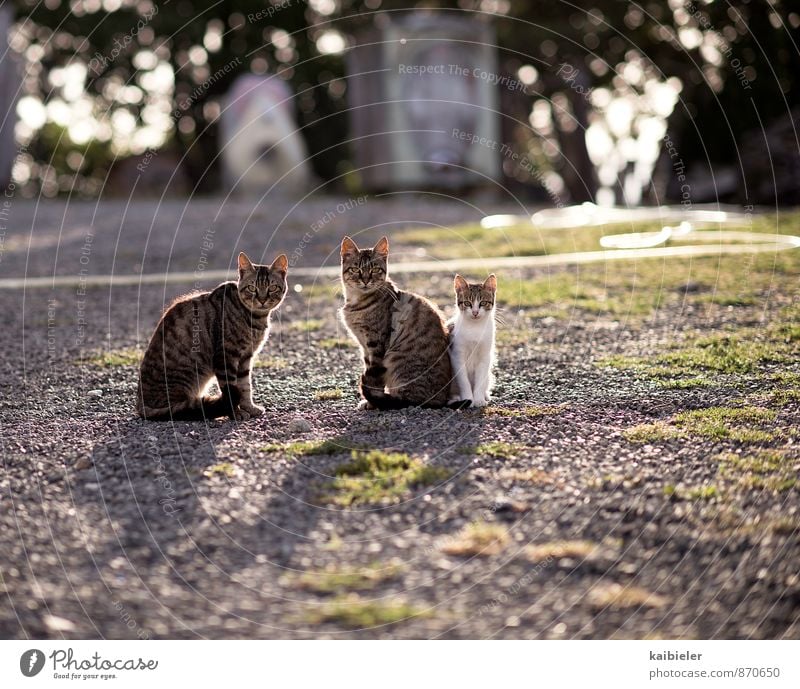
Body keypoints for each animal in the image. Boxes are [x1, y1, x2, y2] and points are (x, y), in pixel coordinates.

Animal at [136, 253, 290, 420]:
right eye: (252, 288)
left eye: (272, 288)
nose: (262, 300)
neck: (255, 318)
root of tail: (140, 406)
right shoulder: (226, 356)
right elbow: (230, 388)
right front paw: (235, 413)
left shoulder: (245, 358)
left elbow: (245, 386)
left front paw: (249, 407)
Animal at [336, 236, 450, 408]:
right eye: (355, 269)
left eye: (375, 270)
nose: (365, 280)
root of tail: (442, 400)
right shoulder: (364, 346)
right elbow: (369, 369)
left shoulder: (376, 343)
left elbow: (374, 377)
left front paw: (371, 402)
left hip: (396, 360)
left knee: (406, 400)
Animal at [446, 272, 496, 406]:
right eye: (467, 303)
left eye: (483, 303)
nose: (475, 312)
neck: (475, 328)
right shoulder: (457, 356)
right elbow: (463, 381)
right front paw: (468, 398)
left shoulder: (485, 356)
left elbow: (480, 379)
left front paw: (479, 400)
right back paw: (455, 398)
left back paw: (485, 395)